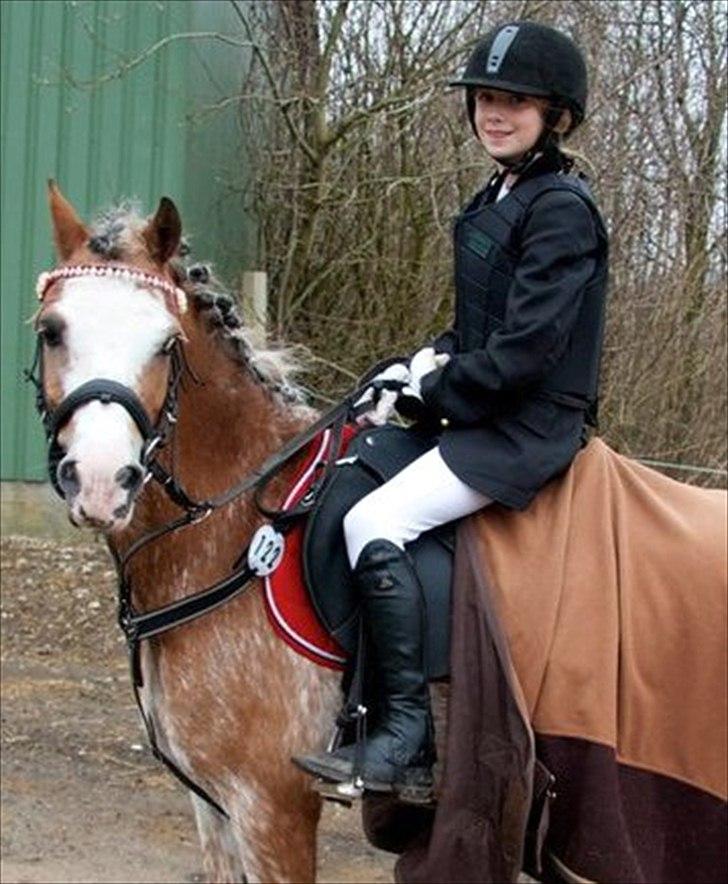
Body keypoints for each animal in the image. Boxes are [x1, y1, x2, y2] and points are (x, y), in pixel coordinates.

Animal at [33, 182, 346, 883]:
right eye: (51, 330)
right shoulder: (215, 806)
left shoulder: (273, 808)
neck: (234, 528)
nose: (101, 481)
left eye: (164, 341)